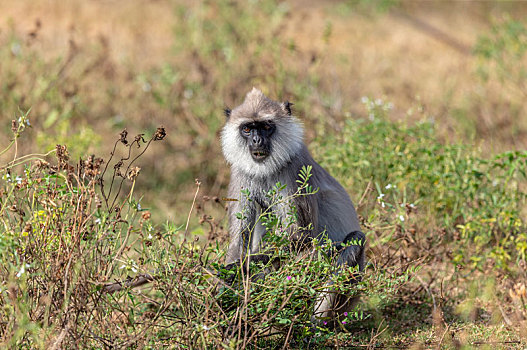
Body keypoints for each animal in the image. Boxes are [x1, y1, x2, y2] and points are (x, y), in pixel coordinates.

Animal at [221, 87, 366, 322]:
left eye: (266, 126)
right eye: (247, 129)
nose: (256, 140)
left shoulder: (295, 170)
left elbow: (301, 239)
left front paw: (236, 270)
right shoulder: (240, 172)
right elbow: (238, 241)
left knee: (355, 239)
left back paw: (315, 323)